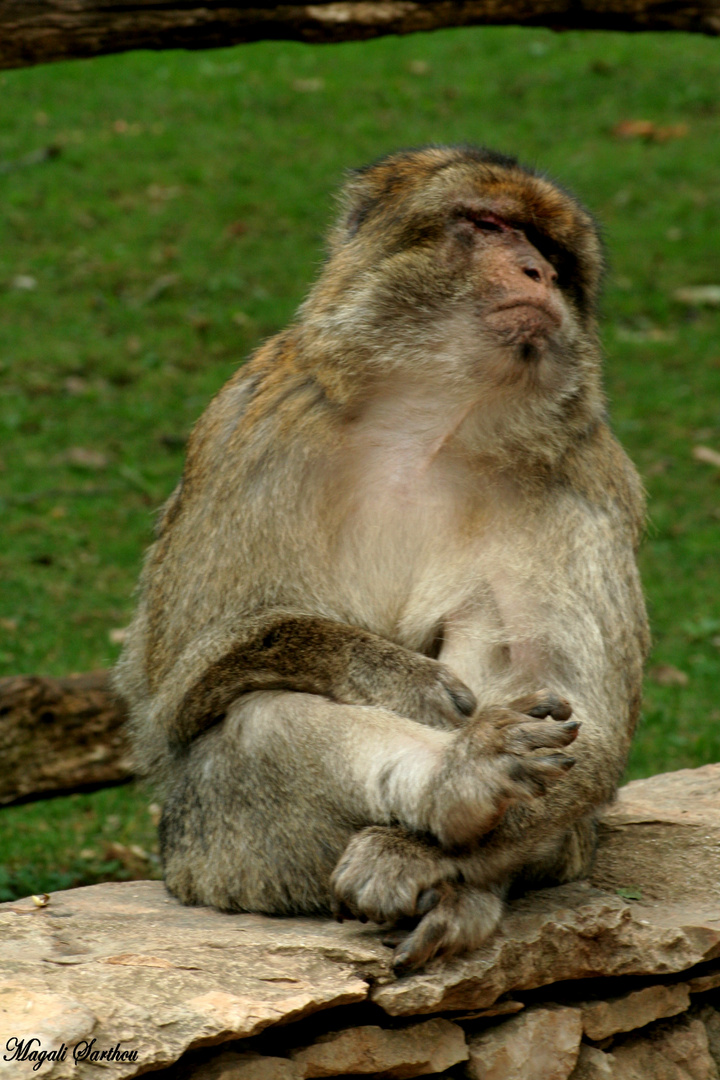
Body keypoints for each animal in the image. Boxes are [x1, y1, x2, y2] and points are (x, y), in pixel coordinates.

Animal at [115, 143, 651, 972]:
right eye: (490, 225)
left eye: (555, 255)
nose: (536, 272)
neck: (429, 420)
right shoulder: (256, 425)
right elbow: (175, 689)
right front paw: (403, 680)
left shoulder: (584, 475)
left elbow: (576, 706)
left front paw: (424, 857)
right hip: (220, 856)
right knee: (256, 726)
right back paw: (458, 776)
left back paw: (455, 867)